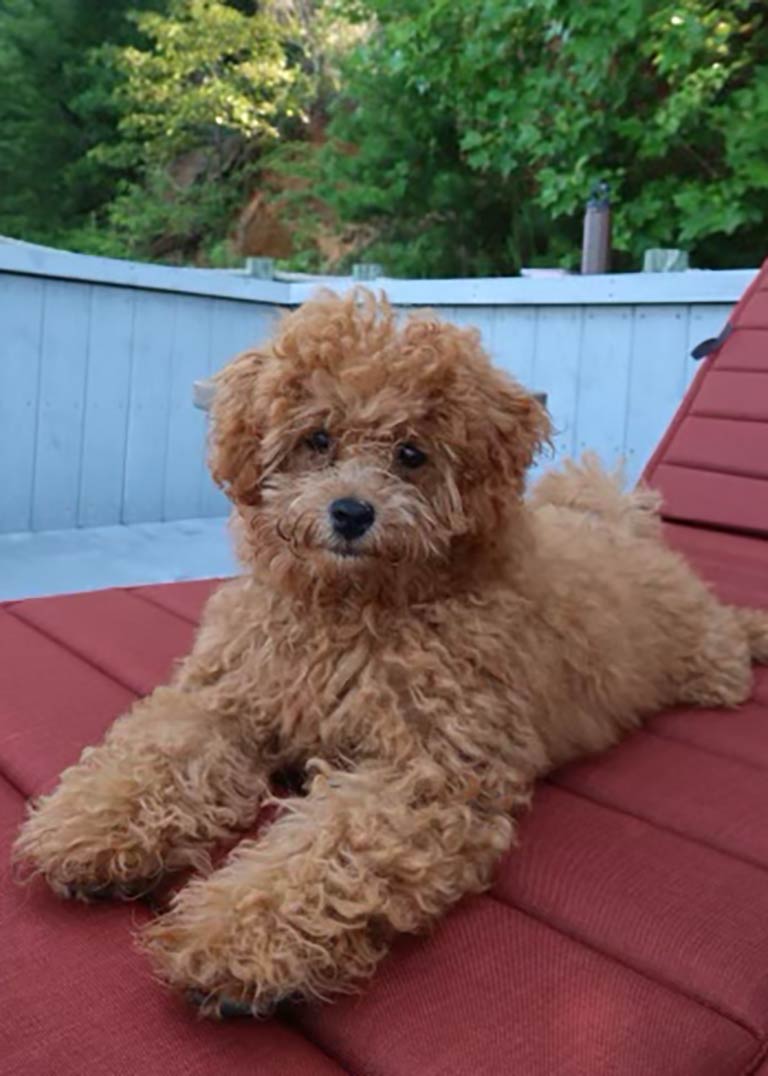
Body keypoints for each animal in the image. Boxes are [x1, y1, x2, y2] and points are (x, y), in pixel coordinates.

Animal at [13, 290, 765, 1011]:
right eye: (318, 438)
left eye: (411, 453)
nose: (351, 512)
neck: (350, 610)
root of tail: (618, 524)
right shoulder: (226, 696)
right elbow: (161, 749)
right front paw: (94, 826)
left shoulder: (428, 773)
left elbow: (333, 844)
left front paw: (235, 939)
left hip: (703, 657)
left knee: (726, 636)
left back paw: (753, 631)